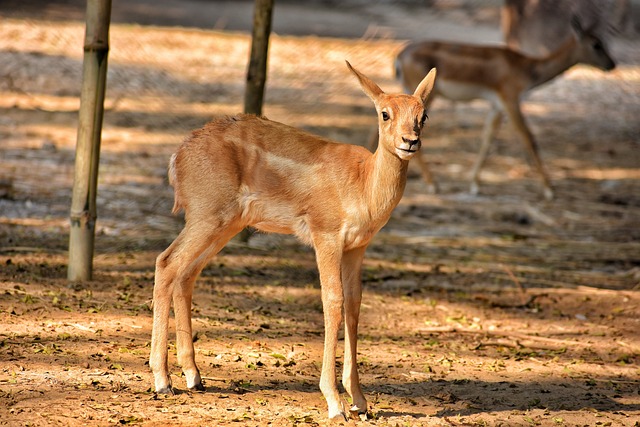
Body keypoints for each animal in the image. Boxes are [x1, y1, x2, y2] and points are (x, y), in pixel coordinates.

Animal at [150, 61, 438, 420]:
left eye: (423, 115)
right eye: (385, 113)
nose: (409, 141)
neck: (363, 183)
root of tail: (178, 156)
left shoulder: (357, 247)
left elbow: (354, 304)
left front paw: (361, 401)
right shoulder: (325, 235)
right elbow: (333, 301)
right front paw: (335, 404)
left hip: (224, 224)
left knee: (185, 274)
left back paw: (194, 377)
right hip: (206, 217)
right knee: (166, 262)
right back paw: (162, 381)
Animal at [396, 15, 616, 199]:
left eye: (603, 41)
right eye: (596, 44)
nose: (611, 64)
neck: (526, 68)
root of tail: (400, 56)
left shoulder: (497, 106)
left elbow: (488, 138)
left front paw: (474, 184)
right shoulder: (511, 101)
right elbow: (528, 138)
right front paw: (549, 189)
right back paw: (433, 185)